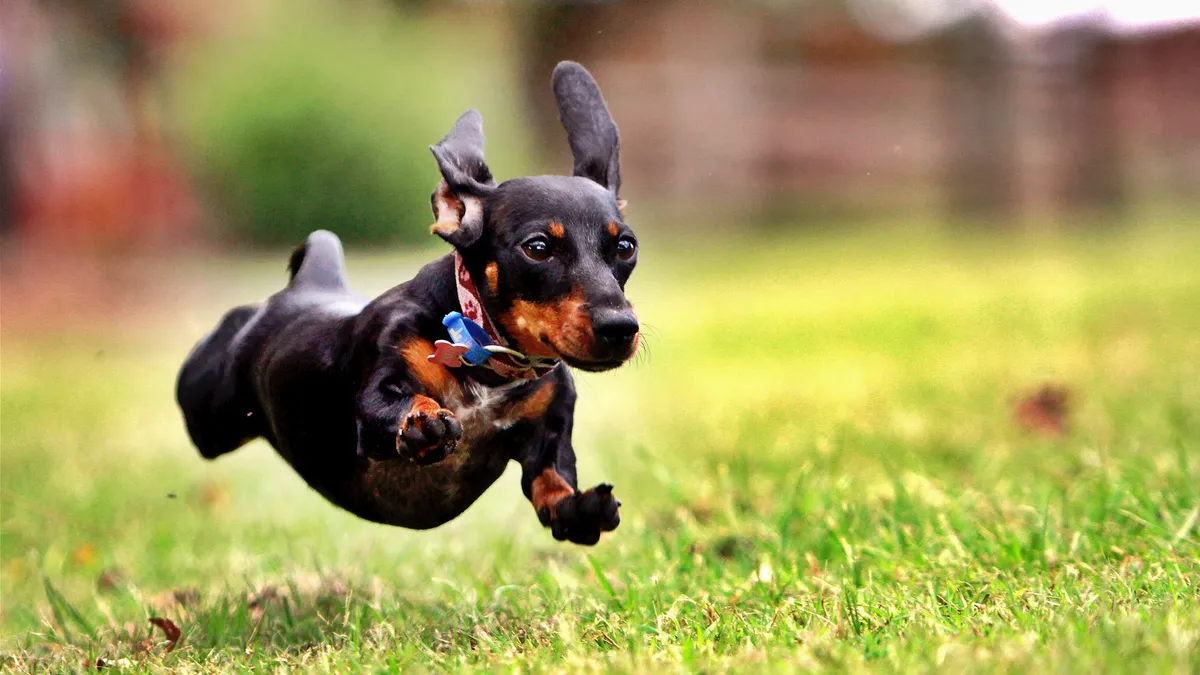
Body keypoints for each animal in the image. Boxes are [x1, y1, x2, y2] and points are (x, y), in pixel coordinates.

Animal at [175, 61, 638, 547]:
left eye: (626, 246)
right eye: (538, 247)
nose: (621, 328)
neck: (480, 355)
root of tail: (310, 282)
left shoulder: (548, 430)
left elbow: (553, 485)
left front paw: (583, 509)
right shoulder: (379, 385)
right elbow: (393, 405)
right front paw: (423, 421)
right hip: (207, 415)